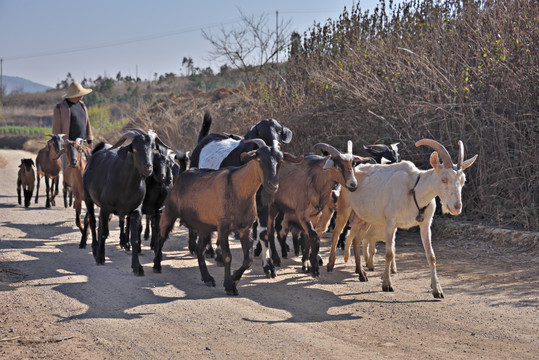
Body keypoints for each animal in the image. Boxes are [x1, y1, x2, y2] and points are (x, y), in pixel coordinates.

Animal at [326, 139, 478, 298]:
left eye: (463, 180)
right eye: (444, 179)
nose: (456, 207)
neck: (414, 190)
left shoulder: (425, 225)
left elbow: (431, 256)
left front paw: (437, 289)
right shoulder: (390, 223)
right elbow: (389, 253)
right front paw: (386, 284)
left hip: (365, 218)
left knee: (356, 240)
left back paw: (361, 274)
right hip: (344, 209)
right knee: (336, 233)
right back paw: (330, 265)